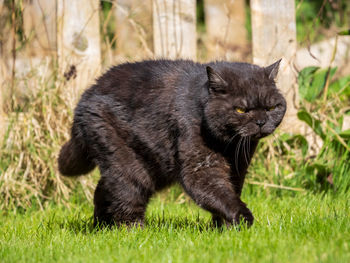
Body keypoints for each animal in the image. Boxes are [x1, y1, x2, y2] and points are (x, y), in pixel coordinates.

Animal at [58, 58, 288, 228]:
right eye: (241, 110)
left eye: (271, 108)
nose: (261, 121)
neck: (228, 145)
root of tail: (86, 97)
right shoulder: (200, 167)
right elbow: (218, 193)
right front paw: (242, 219)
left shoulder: (238, 167)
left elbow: (230, 191)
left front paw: (223, 228)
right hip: (128, 164)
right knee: (126, 194)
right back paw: (133, 232)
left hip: (153, 165)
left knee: (104, 189)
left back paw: (101, 226)